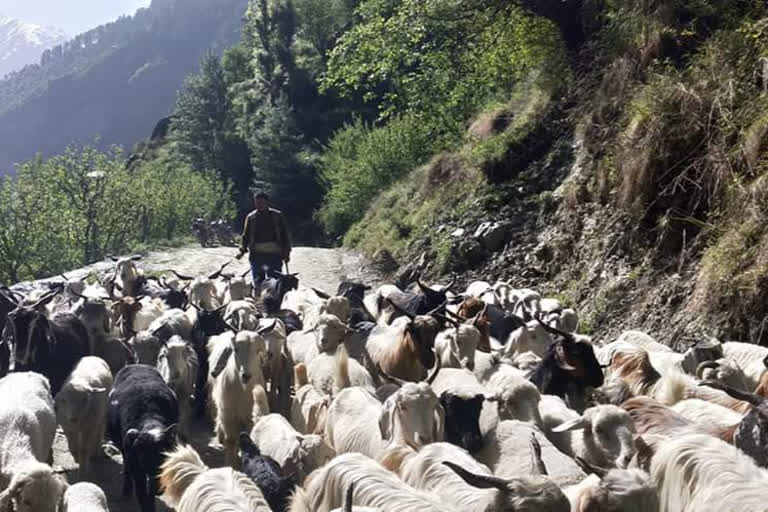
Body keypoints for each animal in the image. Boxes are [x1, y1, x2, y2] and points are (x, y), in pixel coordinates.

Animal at [106, 364, 178, 512]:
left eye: (165, 459)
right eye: (144, 460)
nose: (157, 489)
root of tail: (136, 364)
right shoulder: (138, 469)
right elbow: (143, 496)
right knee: (126, 467)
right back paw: (126, 491)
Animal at [208, 324, 274, 468]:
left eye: (258, 350)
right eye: (236, 349)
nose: (246, 375)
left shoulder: (250, 418)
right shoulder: (228, 416)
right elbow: (231, 441)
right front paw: (232, 465)